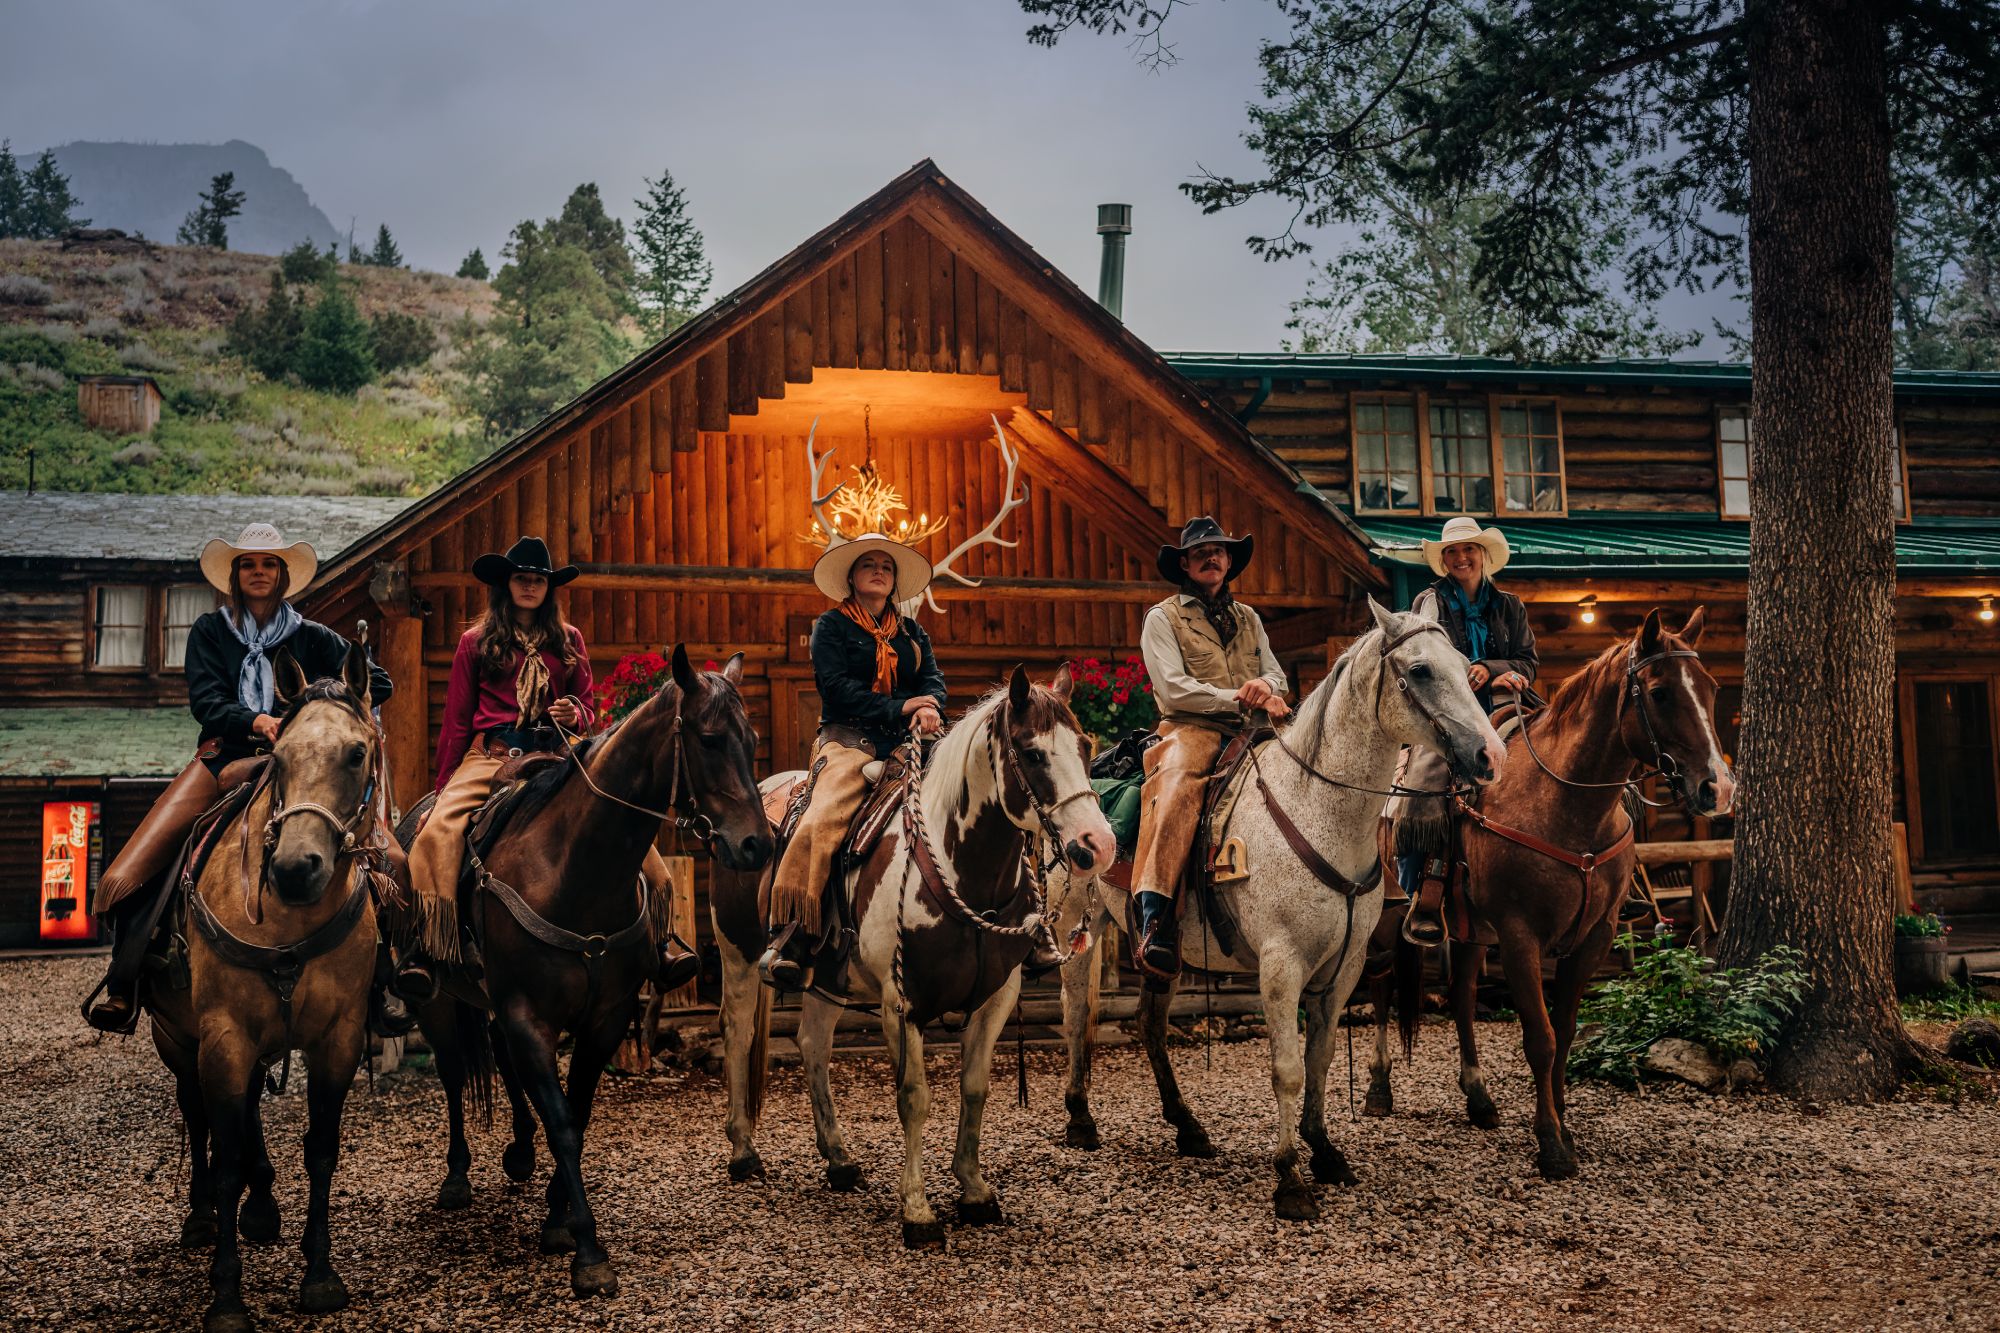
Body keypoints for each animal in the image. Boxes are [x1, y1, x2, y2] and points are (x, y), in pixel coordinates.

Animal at [146, 644, 388, 1328]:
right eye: (277, 758)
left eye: (356, 753)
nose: (295, 869)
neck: (287, 920)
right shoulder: (222, 1038)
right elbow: (224, 1156)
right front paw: (226, 1295)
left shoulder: (337, 1040)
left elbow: (321, 1148)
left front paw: (320, 1272)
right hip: (179, 1040)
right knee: (197, 1114)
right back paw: (204, 1216)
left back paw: (260, 1207)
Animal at [394, 648, 768, 1288]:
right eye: (711, 739)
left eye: (753, 738)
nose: (757, 845)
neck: (574, 870)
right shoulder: (529, 1017)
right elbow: (563, 1122)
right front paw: (588, 1250)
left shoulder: (604, 1018)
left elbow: (579, 1111)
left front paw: (557, 1216)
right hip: (438, 1000)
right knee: (453, 1073)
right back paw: (457, 1177)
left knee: (498, 1060)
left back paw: (519, 1154)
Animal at [716, 664, 1128, 1248]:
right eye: (1031, 753)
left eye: (1085, 746)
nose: (1099, 844)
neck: (963, 870)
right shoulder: (901, 1003)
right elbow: (914, 1098)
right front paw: (917, 1212)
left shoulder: (998, 997)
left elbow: (974, 1089)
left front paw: (974, 1191)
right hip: (737, 953)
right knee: (737, 1035)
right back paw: (743, 1152)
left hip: (827, 979)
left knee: (813, 1044)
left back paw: (839, 1160)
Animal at [1048, 596, 1504, 1216]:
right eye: (1421, 670)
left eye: (1463, 664)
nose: (1490, 754)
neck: (1317, 808)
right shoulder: (1282, 965)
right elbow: (1287, 1069)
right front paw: (1289, 1176)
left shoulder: (1344, 968)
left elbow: (1320, 1061)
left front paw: (1325, 1152)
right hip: (1079, 928)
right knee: (1076, 1017)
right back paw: (1080, 1120)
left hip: (1160, 951)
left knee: (1150, 1024)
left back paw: (1188, 1128)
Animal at [1360, 608, 1736, 1176]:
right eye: (1660, 692)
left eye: (1712, 688)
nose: (1718, 787)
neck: (1563, 803)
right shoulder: (1521, 938)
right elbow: (1540, 1038)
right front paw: (1551, 1144)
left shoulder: (1594, 937)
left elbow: (1566, 1031)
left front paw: (1563, 1123)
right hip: (1386, 917)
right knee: (1382, 987)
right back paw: (1379, 1088)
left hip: (1471, 931)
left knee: (1463, 995)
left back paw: (1479, 1098)